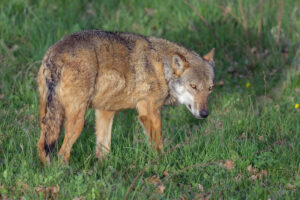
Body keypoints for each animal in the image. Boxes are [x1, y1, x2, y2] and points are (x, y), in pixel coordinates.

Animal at [37, 29, 216, 164]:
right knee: (61, 153)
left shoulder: (105, 112)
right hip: (77, 121)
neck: (162, 68)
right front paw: (162, 164)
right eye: (193, 86)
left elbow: (103, 149)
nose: (204, 114)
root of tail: (54, 56)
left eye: (210, 89)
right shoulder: (149, 113)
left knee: (41, 146)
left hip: (48, 119)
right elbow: (158, 145)